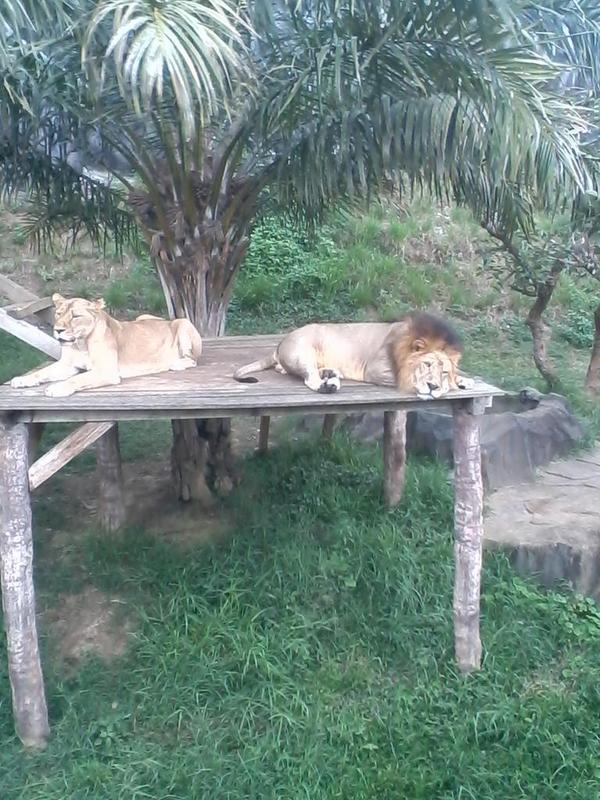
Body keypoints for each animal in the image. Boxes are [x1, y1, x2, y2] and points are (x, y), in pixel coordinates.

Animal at [9, 294, 203, 397]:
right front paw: (22, 379)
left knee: (193, 359)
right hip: (142, 316)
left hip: (183, 322)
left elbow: (77, 379)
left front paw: (57, 387)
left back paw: (176, 364)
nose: (58, 330)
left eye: (75, 316)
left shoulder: (106, 371)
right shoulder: (67, 365)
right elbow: (41, 372)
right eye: (58, 314)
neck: (80, 344)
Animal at [233, 311, 473, 399]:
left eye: (443, 371)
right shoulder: (375, 369)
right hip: (303, 353)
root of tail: (280, 343)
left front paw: (462, 380)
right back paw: (328, 386)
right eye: (426, 365)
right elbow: (404, 377)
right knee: (310, 379)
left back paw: (331, 375)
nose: (433, 386)